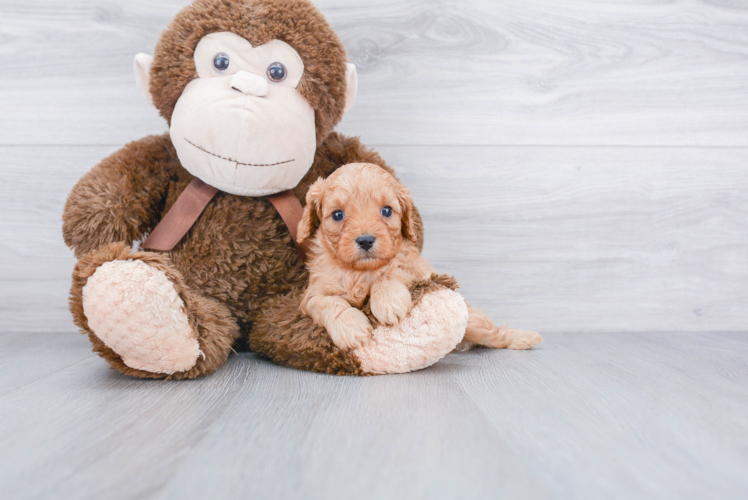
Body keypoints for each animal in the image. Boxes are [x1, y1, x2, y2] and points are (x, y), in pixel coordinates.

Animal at [298, 164, 544, 352]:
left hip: (473, 322)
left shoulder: (414, 270)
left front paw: (388, 302)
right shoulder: (312, 295)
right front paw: (350, 327)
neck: (360, 272)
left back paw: (523, 338)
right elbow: (328, 303)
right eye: (337, 215)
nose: (366, 240)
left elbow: (390, 275)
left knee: (495, 334)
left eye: (386, 211)